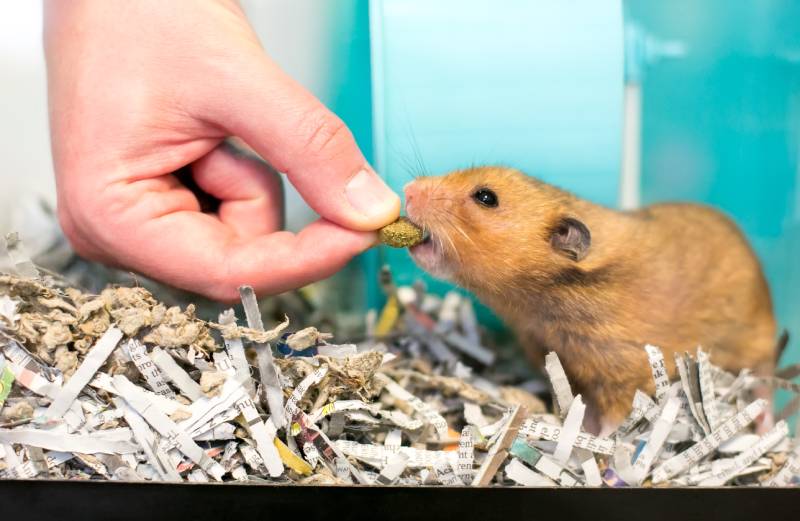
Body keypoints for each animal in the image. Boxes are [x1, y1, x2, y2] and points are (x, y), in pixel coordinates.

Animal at [406, 166, 776, 430]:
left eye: (486, 197)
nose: (408, 190)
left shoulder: (625, 373)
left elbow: (614, 420)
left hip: (755, 349)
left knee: (764, 384)